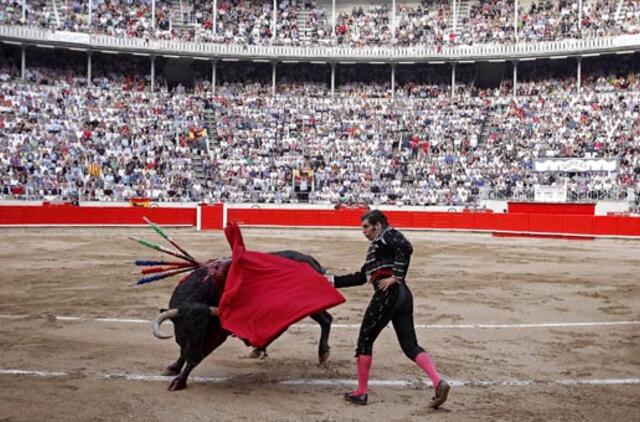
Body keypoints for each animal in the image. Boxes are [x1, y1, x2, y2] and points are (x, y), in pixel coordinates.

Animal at [151, 249, 336, 390]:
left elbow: (197, 354)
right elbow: (183, 350)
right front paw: (173, 368)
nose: (195, 355)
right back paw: (258, 349)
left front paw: (179, 381)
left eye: (203, 330)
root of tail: (310, 260)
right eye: (184, 330)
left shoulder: (217, 333)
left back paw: (322, 354)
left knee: (326, 320)